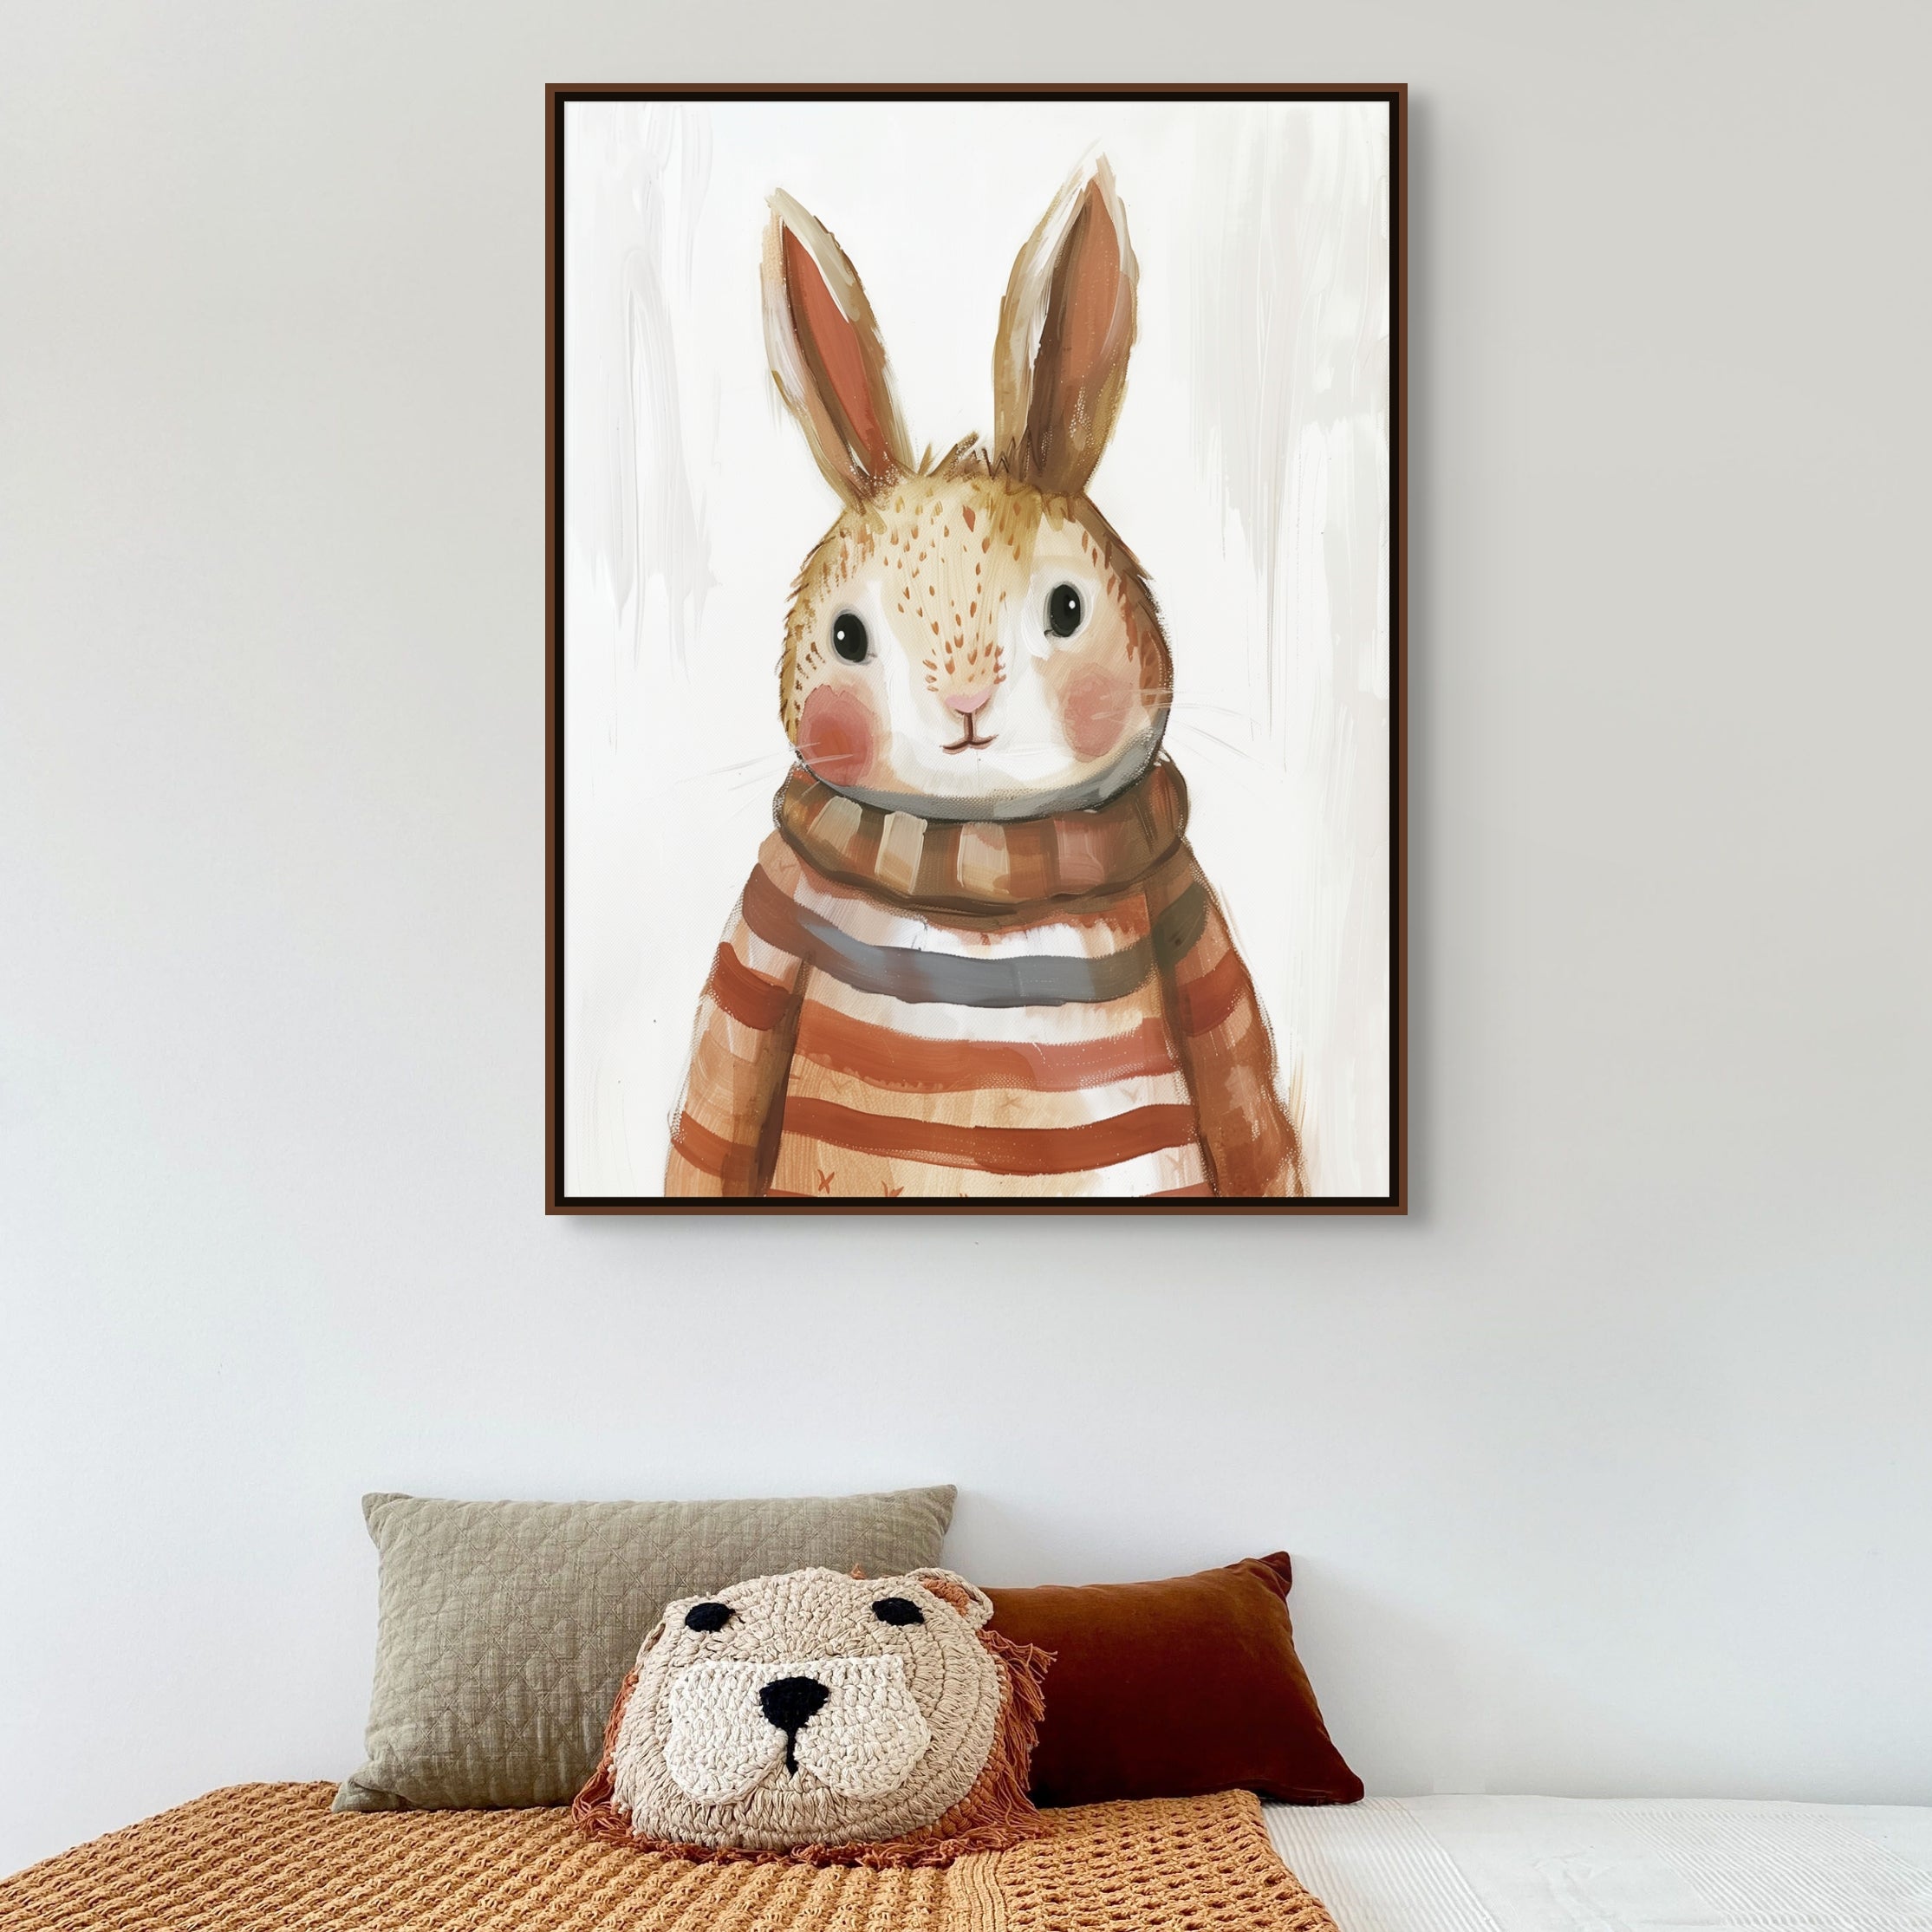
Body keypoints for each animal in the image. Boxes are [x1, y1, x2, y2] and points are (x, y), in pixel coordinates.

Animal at [664, 159, 1304, 1199]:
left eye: (1067, 610)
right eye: (847, 636)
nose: (964, 705)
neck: (980, 847)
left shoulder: (1188, 918)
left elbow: (1236, 1072)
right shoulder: (769, 924)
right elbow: (724, 1087)